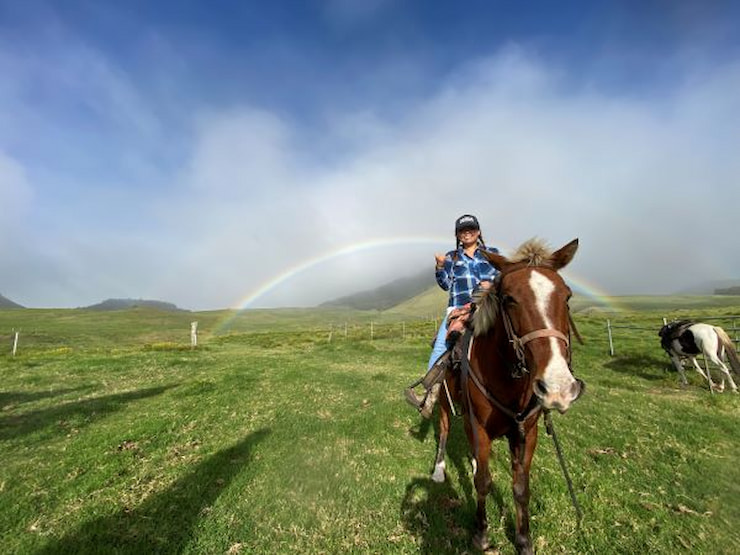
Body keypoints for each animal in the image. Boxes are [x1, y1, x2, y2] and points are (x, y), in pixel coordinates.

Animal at [430, 239, 580, 555]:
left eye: (567, 296)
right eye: (509, 299)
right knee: (445, 430)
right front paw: (481, 534)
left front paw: (524, 540)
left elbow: (521, 487)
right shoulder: (480, 426)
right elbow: (482, 483)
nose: (558, 387)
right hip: (446, 404)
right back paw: (438, 470)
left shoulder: (526, 433)